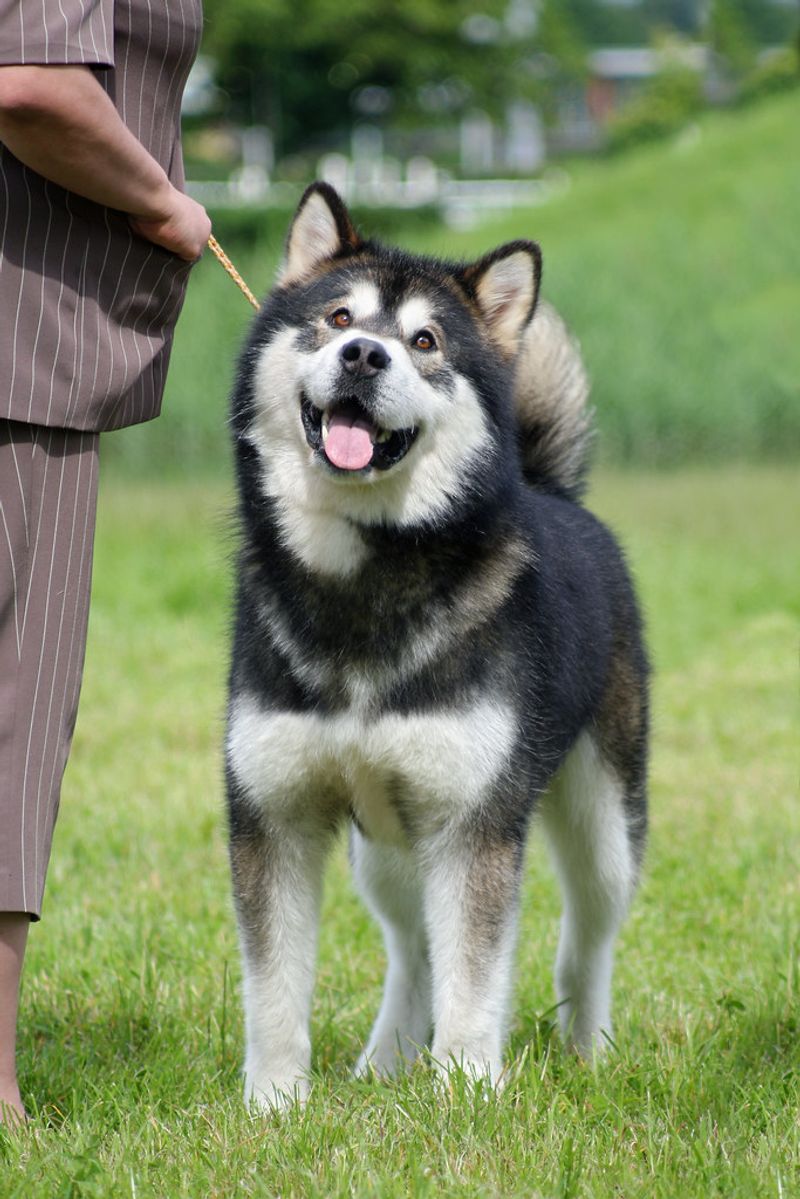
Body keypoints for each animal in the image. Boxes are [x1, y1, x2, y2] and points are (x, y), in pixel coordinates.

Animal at [224, 183, 649, 1109]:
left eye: (424, 342)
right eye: (338, 316)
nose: (363, 356)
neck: (362, 583)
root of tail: (551, 489)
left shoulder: (470, 822)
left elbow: (475, 975)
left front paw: (466, 1094)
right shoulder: (275, 811)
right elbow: (273, 987)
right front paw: (273, 1104)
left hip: (603, 818)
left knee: (586, 934)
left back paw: (590, 1046)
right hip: (384, 847)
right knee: (412, 943)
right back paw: (387, 1057)